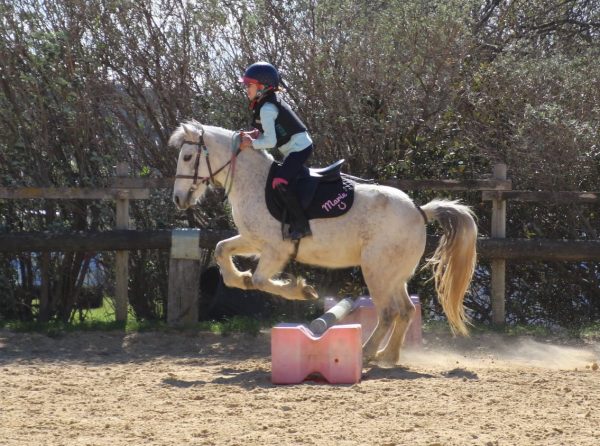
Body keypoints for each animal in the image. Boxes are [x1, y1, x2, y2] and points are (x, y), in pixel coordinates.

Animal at [170, 123, 478, 366]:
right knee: (405, 311)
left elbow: (260, 280)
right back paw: (387, 356)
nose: (178, 199)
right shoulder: (252, 240)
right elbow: (222, 250)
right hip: (393, 275)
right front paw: (239, 278)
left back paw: (368, 352)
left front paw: (300, 290)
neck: (253, 182)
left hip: (377, 272)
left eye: (187, 156)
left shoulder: (275, 249)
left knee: (389, 313)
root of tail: (419, 211)